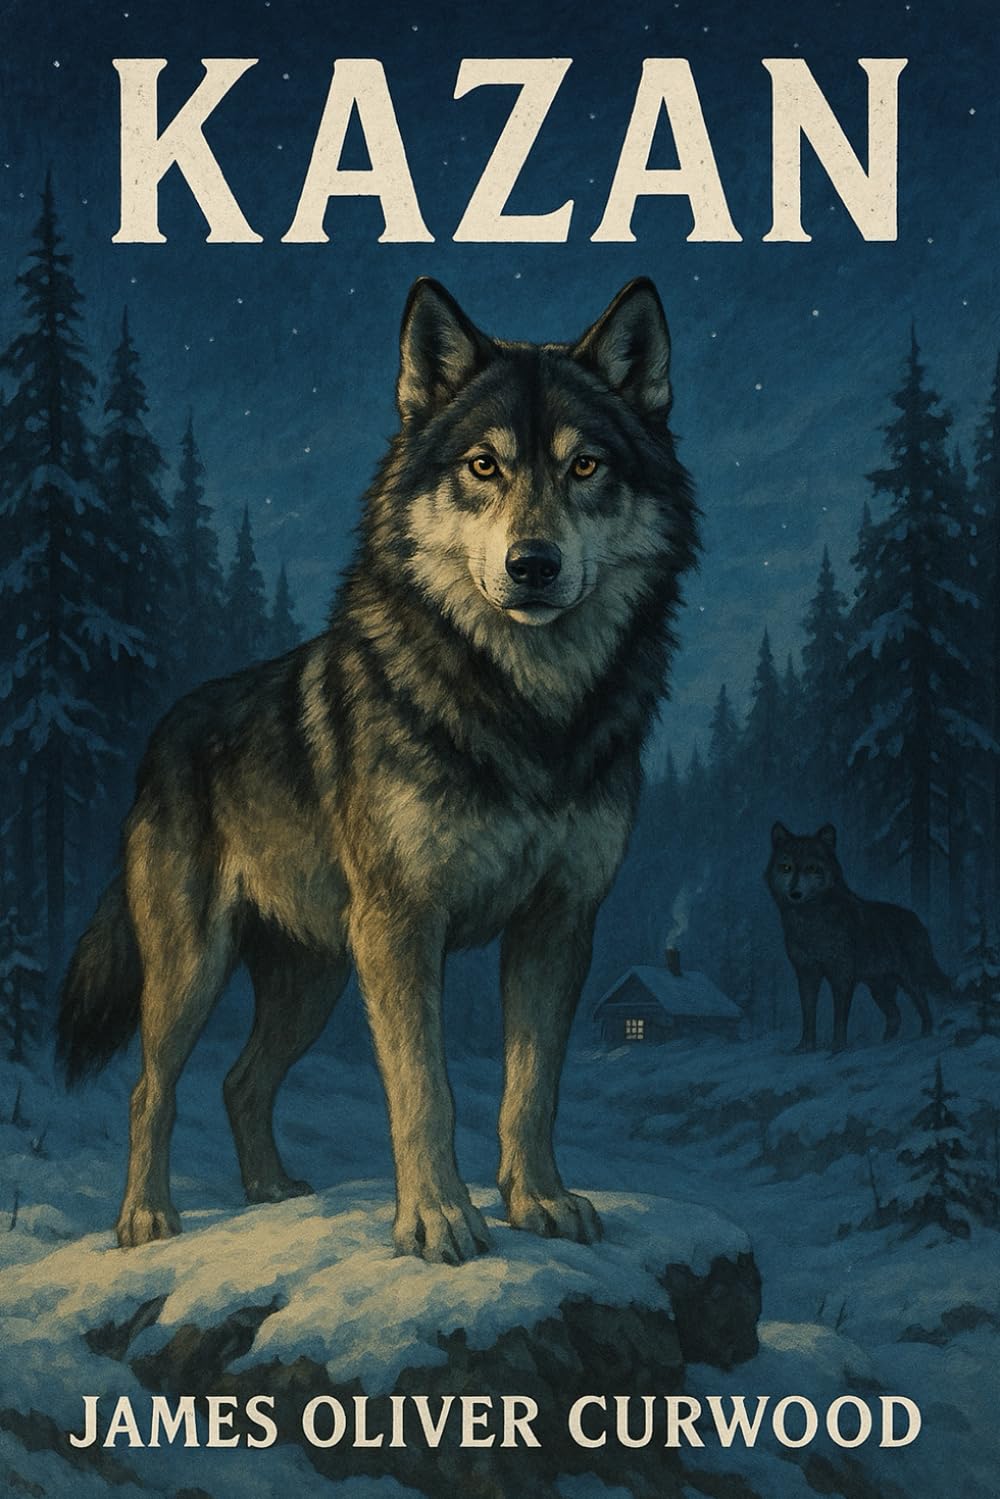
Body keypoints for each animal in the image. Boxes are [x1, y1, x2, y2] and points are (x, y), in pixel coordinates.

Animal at [57, 277, 698, 1262]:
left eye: (585, 466)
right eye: (484, 466)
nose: (533, 565)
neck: (525, 712)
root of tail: (160, 733)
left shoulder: (558, 923)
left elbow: (532, 1088)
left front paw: (539, 1200)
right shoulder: (402, 925)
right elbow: (424, 1091)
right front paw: (436, 1219)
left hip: (314, 978)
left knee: (240, 1079)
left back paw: (270, 1192)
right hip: (196, 968)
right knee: (147, 1088)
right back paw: (146, 1218)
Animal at [766, 823, 948, 1053]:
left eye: (811, 868)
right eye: (786, 868)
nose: (795, 894)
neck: (810, 924)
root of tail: (917, 920)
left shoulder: (841, 976)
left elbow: (840, 1019)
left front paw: (837, 1048)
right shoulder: (806, 974)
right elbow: (808, 1015)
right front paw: (804, 1048)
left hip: (910, 981)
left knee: (923, 1006)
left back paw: (924, 1036)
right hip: (879, 990)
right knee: (895, 1016)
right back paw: (884, 1043)